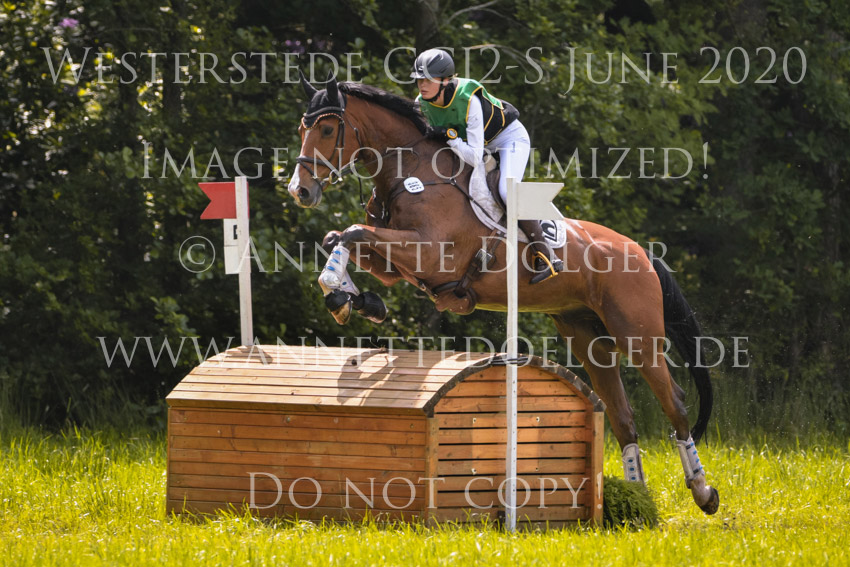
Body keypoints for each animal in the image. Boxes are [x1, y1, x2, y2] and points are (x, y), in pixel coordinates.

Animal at [286, 73, 720, 515]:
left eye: (326, 129)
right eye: (302, 129)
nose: (299, 191)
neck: (413, 174)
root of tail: (642, 252)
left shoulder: (430, 252)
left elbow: (352, 232)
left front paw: (344, 298)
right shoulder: (397, 264)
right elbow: (340, 236)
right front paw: (354, 300)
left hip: (636, 333)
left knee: (675, 401)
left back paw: (703, 492)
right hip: (587, 335)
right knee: (622, 415)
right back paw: (637, 499)